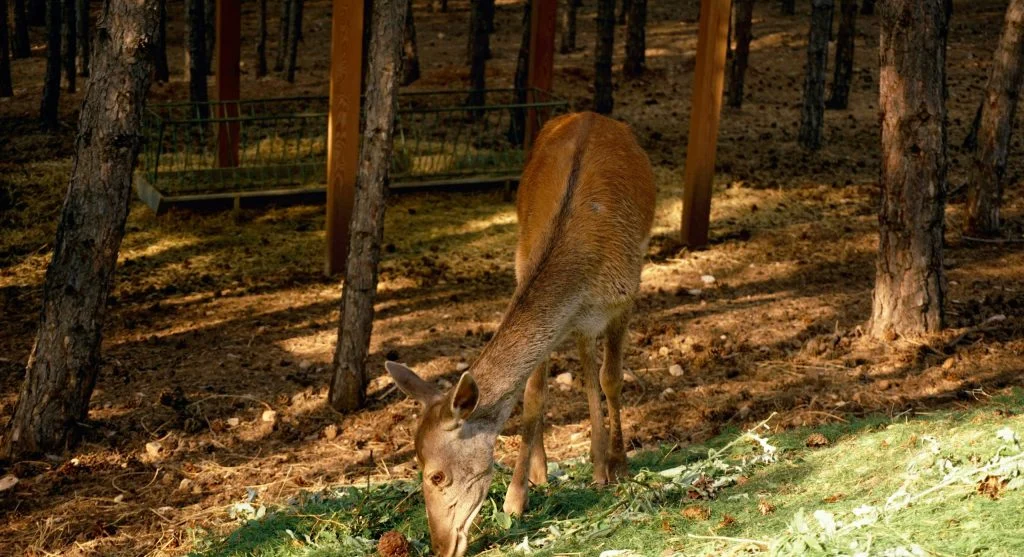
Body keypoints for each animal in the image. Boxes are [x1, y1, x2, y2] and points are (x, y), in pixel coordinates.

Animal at [385, 111, 655, 557]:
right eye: (417, 465)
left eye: (438, 475)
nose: (440, 545)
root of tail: (591, 115)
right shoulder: (528, 281)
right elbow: (533, 396)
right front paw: (518, 495)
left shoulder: (626, 295)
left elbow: (612, 379)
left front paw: (620, 465)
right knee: (578, 355)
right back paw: (564, 467)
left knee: (593, 365)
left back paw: (602, 465)